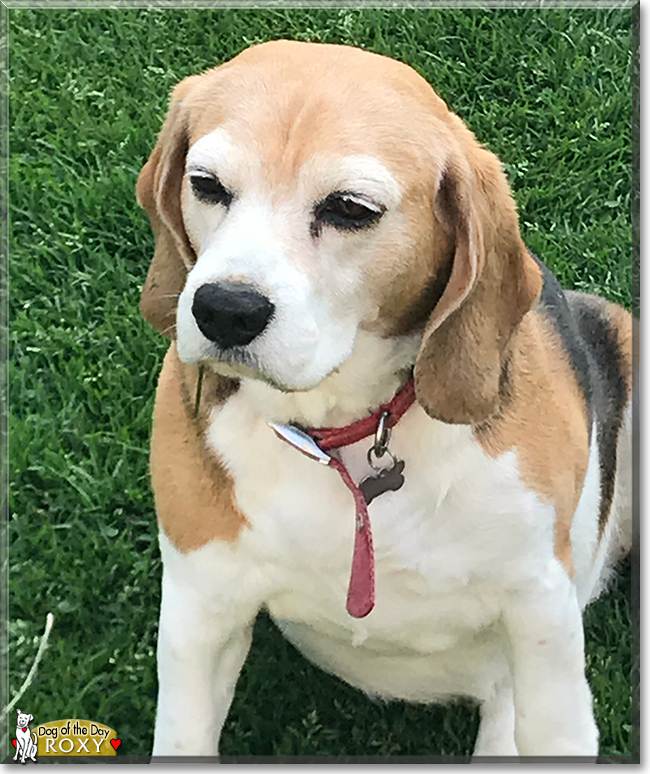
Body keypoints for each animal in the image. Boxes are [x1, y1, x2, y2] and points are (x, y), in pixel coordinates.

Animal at [135, 41, 628, 756]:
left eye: (349, 209)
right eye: (206, 185)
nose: (224, 309)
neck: (342, 432)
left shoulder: (540, 614)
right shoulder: (202, 605)